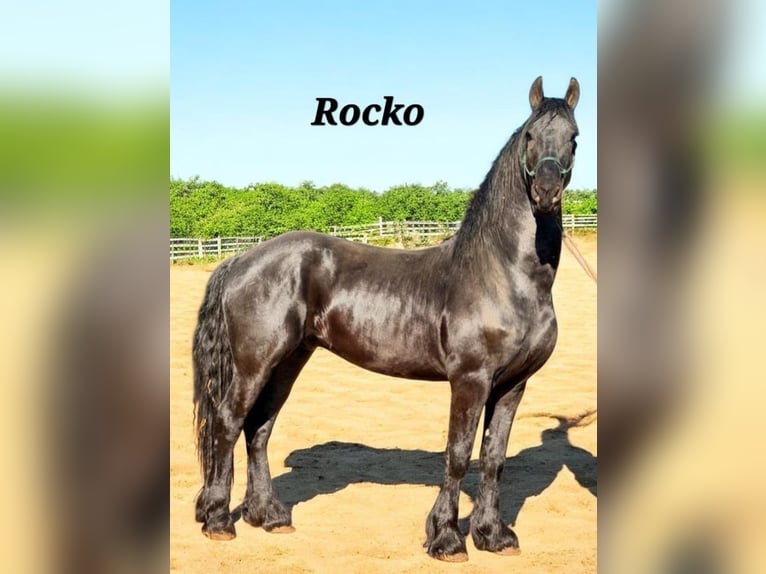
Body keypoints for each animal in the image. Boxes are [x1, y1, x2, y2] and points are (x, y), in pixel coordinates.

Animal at [192, 76, 580, 562]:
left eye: (574, 138)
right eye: (529, 135)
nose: (546, 193)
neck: (503, 273)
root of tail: (240, 259)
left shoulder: (513, 385)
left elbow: (493, 458)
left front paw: (494, 536)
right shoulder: (470, 381)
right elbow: (458, 455)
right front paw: (447, 538)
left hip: (288, 360)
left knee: (258, 428)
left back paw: (270, 516)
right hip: (254, 363)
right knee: (227, 423)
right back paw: (219, 521)